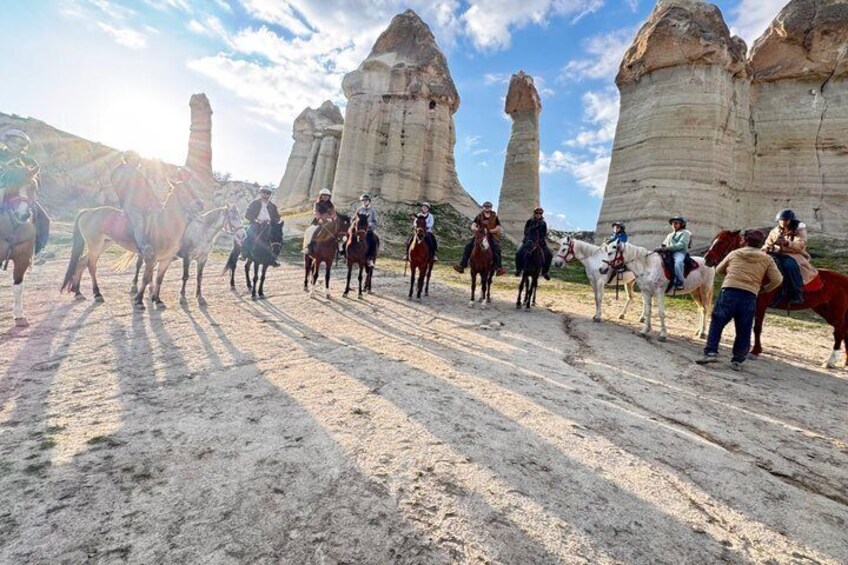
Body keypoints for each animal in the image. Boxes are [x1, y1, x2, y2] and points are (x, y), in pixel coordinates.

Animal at [61, 179, 203, 309]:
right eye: (183, 191)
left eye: (192, 188)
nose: (201, 204)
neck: (165, 225)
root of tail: (88, 211)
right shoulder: (151, 259)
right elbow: (146, 278)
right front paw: (139, 300)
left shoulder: (165, 260)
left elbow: (159, 279)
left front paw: (157, 300)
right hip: (95, 245)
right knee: (91, 266)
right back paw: (97, 294)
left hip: (103, 244)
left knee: (81, 262)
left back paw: (78, 292)